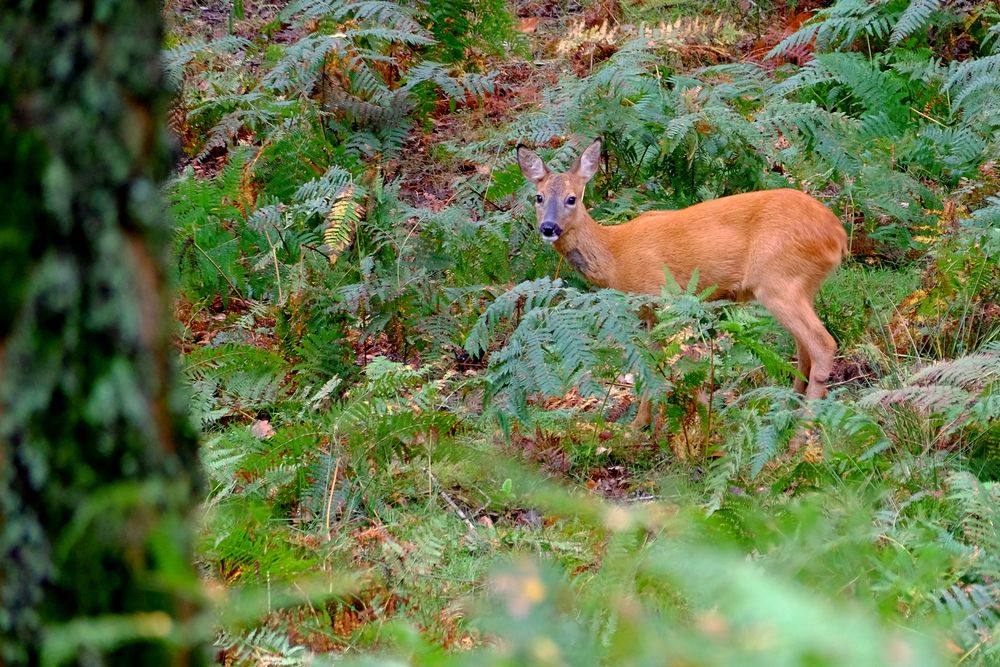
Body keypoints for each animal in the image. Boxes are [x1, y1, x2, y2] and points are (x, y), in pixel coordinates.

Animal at [520, 140, 848, 428]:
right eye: (538, 197)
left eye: (571, 198)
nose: (548, 227)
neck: (614, 254)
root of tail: (838, 234)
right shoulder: (649, 313)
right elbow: (649, 363)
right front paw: (639, 426)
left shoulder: (666, 296)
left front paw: (701, 425)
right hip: (799, 285)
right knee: (804, 349)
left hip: (778, 280)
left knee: (822, 344)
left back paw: (802, 434)